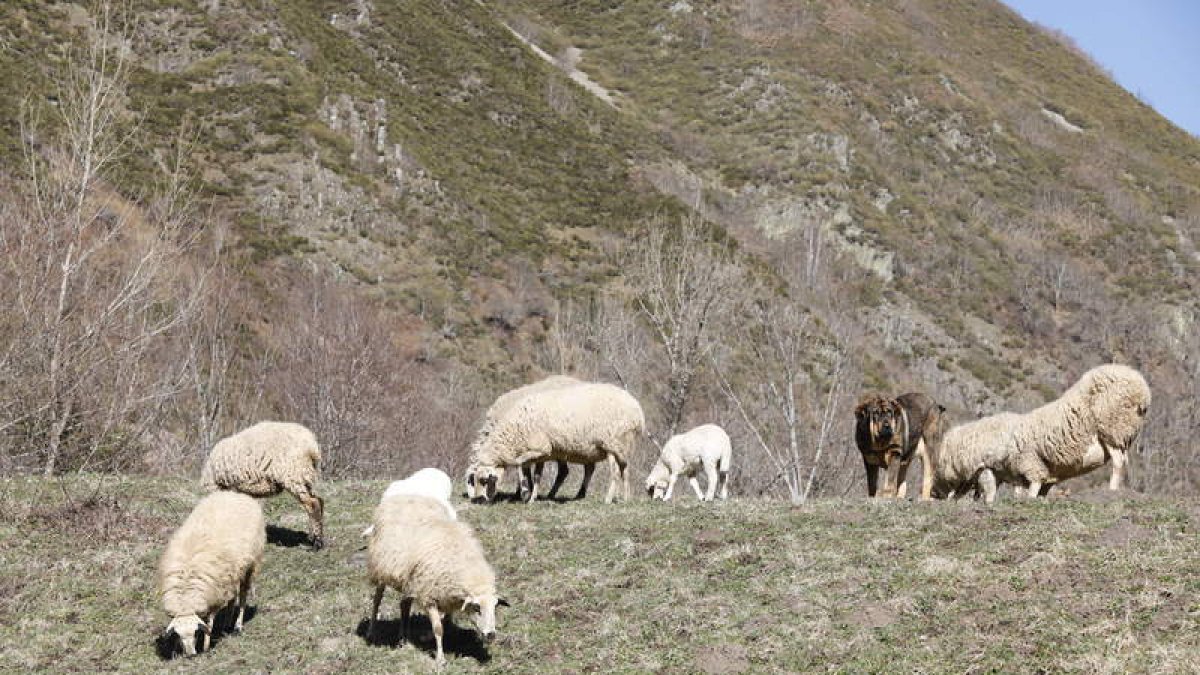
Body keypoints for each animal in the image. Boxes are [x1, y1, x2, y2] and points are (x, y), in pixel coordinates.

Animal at [157, 491, 265, 657]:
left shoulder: (213, 597)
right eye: (180, 636)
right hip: (231, 574)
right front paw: (176, 650)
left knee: (242, 596)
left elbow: (209, 622)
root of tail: (236, 494)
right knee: (233, 596)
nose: (191, 655)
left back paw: (237, 626)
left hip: (251, 565)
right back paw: (227, 622)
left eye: (196, 633)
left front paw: (206, 646)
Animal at [200, 421, 325, 549]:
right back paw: (313, 538)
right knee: (319, 501)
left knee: (312, 504)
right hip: (305, 475)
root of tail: (311, 445)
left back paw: (316, 542)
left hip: (294, 475)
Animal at [366, 495, 509, 665]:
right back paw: (372, 632)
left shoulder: (447, 596)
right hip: (381, 568)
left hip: (412, 581)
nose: (491, 635)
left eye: (495, 608)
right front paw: (440, 659)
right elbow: (438, 628)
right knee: (377, 600)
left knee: (404, 605)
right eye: (476, 608)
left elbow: (445, 624)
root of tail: (402, 496)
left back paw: (404, 638)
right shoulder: (429, 598)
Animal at [471, 382, 645, 504]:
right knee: (625, 470)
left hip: (612, 442)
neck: (514, 432)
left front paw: (525, 491)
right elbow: (536, 476)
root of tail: (637, 410)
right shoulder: (541, 454)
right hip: (621, 446)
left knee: (615, 473)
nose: (480, 501)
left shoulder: (541, 448)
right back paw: (625, 498)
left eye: (483, 480)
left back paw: (608, 499)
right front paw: (532, 497)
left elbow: (521, 463)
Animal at [931, 364, 1150, 503]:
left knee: (1118, 462)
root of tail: (1142, 390)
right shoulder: (1015, 471)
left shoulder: (1016, 465)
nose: (933, 494)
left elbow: (1003, 491)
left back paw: (1112, 490)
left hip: (1113, 429)